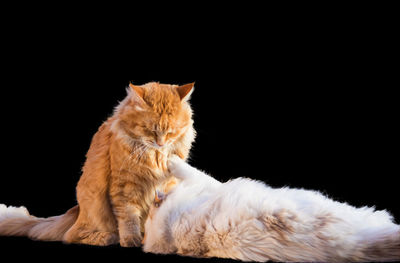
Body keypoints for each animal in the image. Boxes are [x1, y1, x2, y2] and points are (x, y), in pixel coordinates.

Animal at [0, 82, 195, 248]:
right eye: (149, 129)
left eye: (171, 132)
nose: (160, 143)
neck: (155, 155)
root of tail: (77, 211)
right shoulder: (124, 187)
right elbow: (128, 217)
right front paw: (131, 240)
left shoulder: (168, 184)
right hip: (94, 205)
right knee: (72, 236)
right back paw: (109, 237)